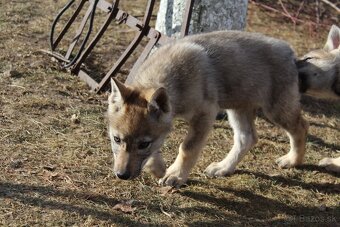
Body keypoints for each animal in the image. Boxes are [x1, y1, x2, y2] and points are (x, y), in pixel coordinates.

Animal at [107, 30, 310, 187]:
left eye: (143, 144)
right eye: (116, 139)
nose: (121, 175)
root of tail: (291, 53)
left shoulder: (205, 113)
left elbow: (187, 148)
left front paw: (176, 175)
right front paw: (159, 170)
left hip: (276, 110)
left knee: (301, 127)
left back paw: (292, 160)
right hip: (238, 108)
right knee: (247, 138)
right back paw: (223, 168)